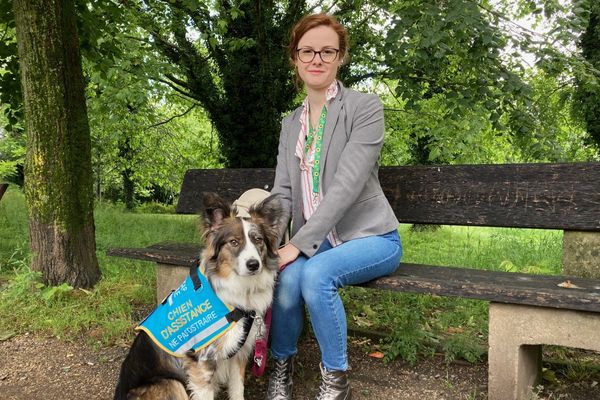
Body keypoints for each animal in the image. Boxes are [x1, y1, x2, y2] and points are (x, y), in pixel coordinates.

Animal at [114, 192, 284, 398]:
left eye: (258, 240)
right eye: (234, 242)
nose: (253, 265)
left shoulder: (239, 353)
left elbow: (237, 390)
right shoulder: (201, 364)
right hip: (173, 383)